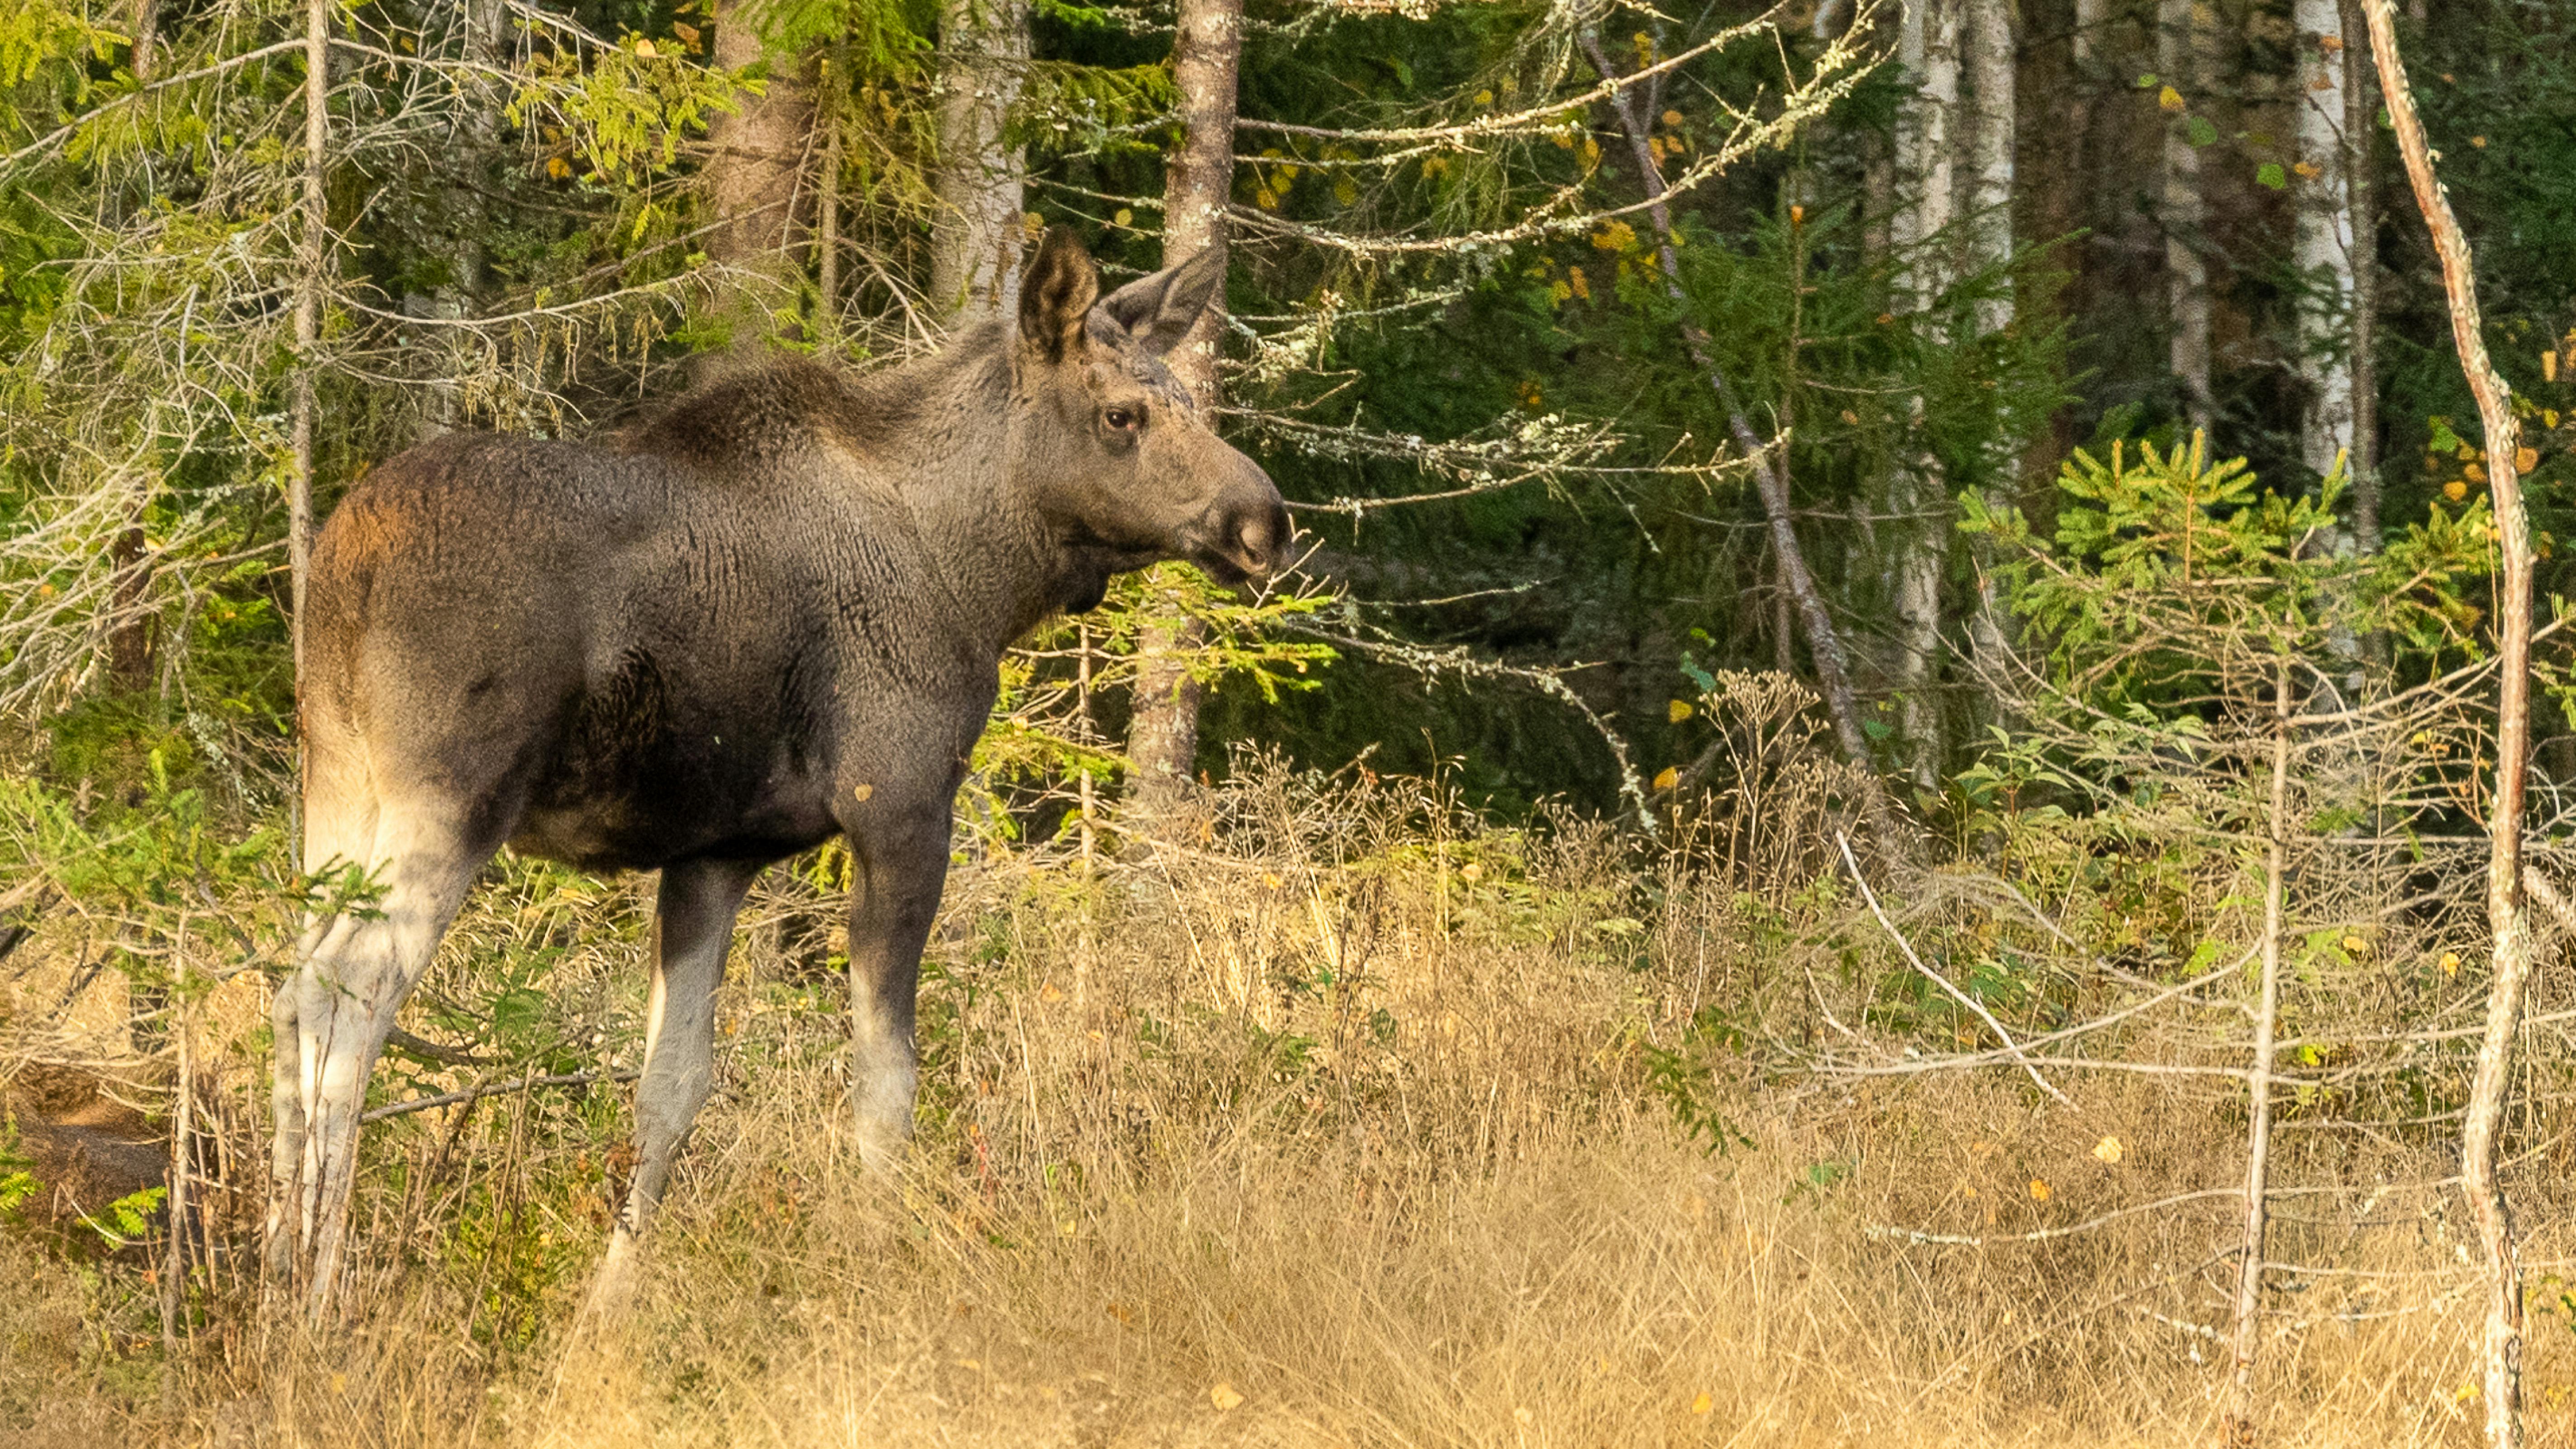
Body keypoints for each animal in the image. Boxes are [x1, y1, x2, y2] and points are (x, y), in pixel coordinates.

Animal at [262, 229, 1289, 1319]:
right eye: (1121, 414)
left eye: (1185, 401)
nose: (1264, 520)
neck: (978, 572)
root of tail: (345, 565)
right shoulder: (902, 807)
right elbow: (886, 1085)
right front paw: (879, 1272)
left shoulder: (715, 853)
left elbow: (671, 1087)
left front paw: (605, 1313)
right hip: (452, 796)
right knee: (349, 996)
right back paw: (318, 1290)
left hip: (338, 790)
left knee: (290, 987)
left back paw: (268, 1267)